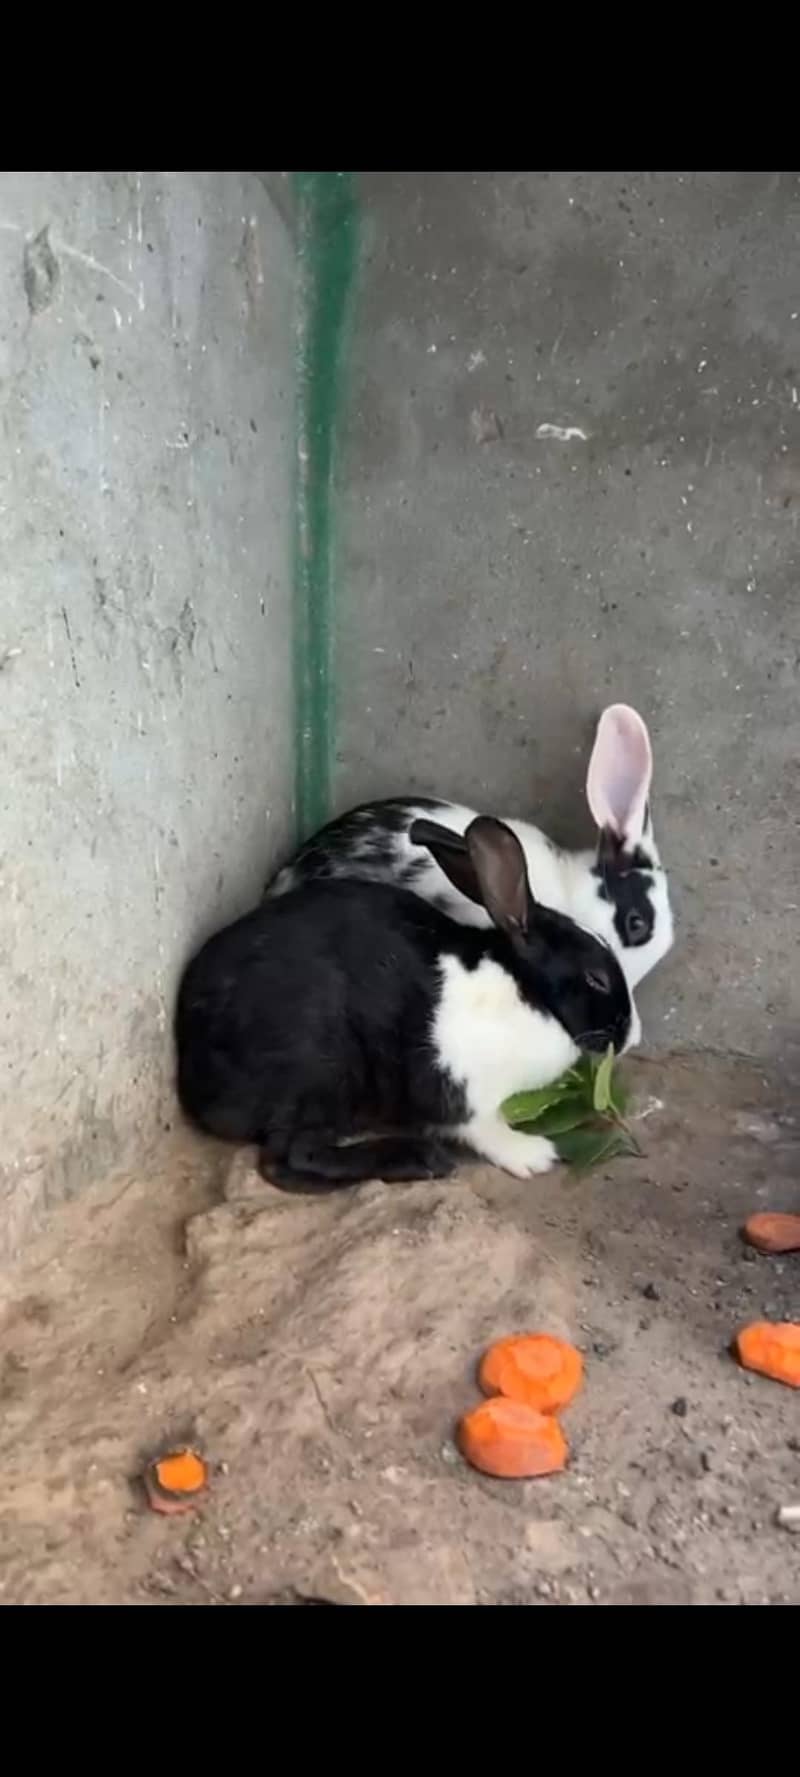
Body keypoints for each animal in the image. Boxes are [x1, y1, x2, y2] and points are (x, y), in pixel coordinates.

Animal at [177, 814, 640, 1192]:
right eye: (596, 978)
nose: (631, 1036)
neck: (525, 990)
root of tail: (193, 1076)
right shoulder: (463, 1093)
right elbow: (484, 1129)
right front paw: (533, 1155)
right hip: (323, 1076)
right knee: (290, 1159)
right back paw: (420, 1161)